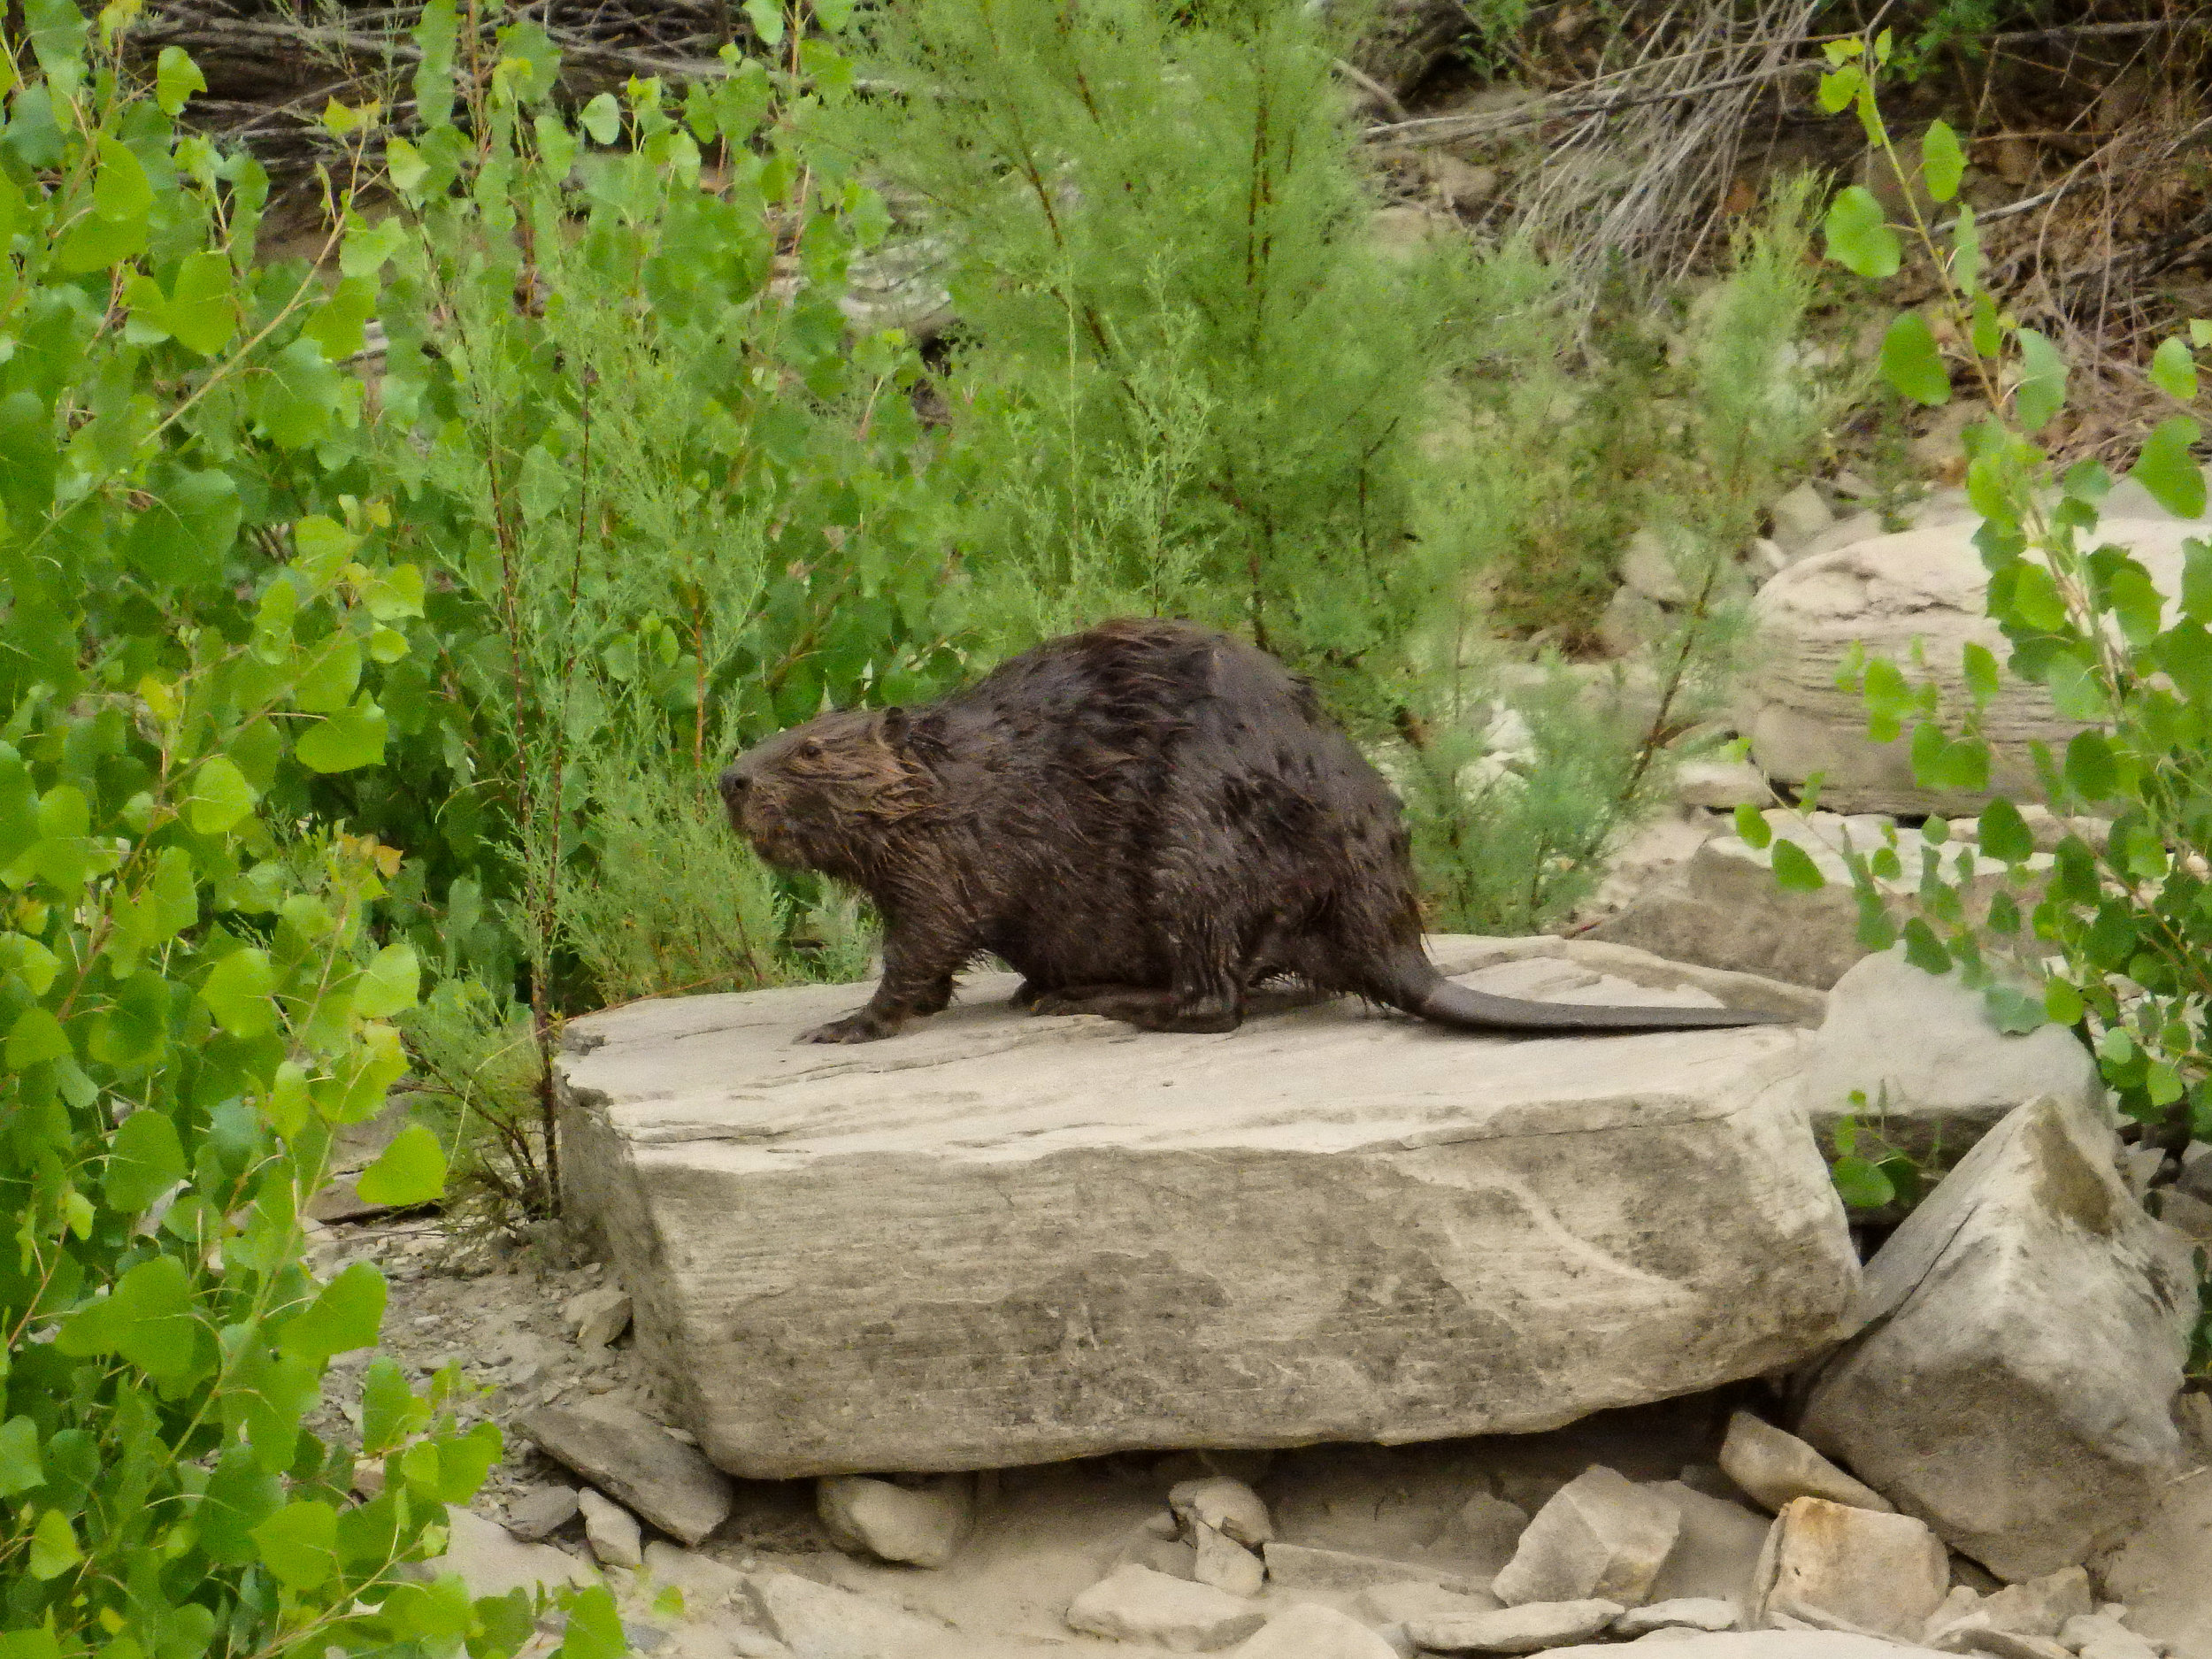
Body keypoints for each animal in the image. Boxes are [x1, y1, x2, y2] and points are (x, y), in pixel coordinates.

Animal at [717, 619, 1787, 1044]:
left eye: (808, 749)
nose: (729, 777)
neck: (956, 772)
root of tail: (1400, 948)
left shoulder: (955, 850)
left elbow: (926, 945)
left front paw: (842, 1023)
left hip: (1191, 848)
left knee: (1215, 1000)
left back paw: (1090, 1001)